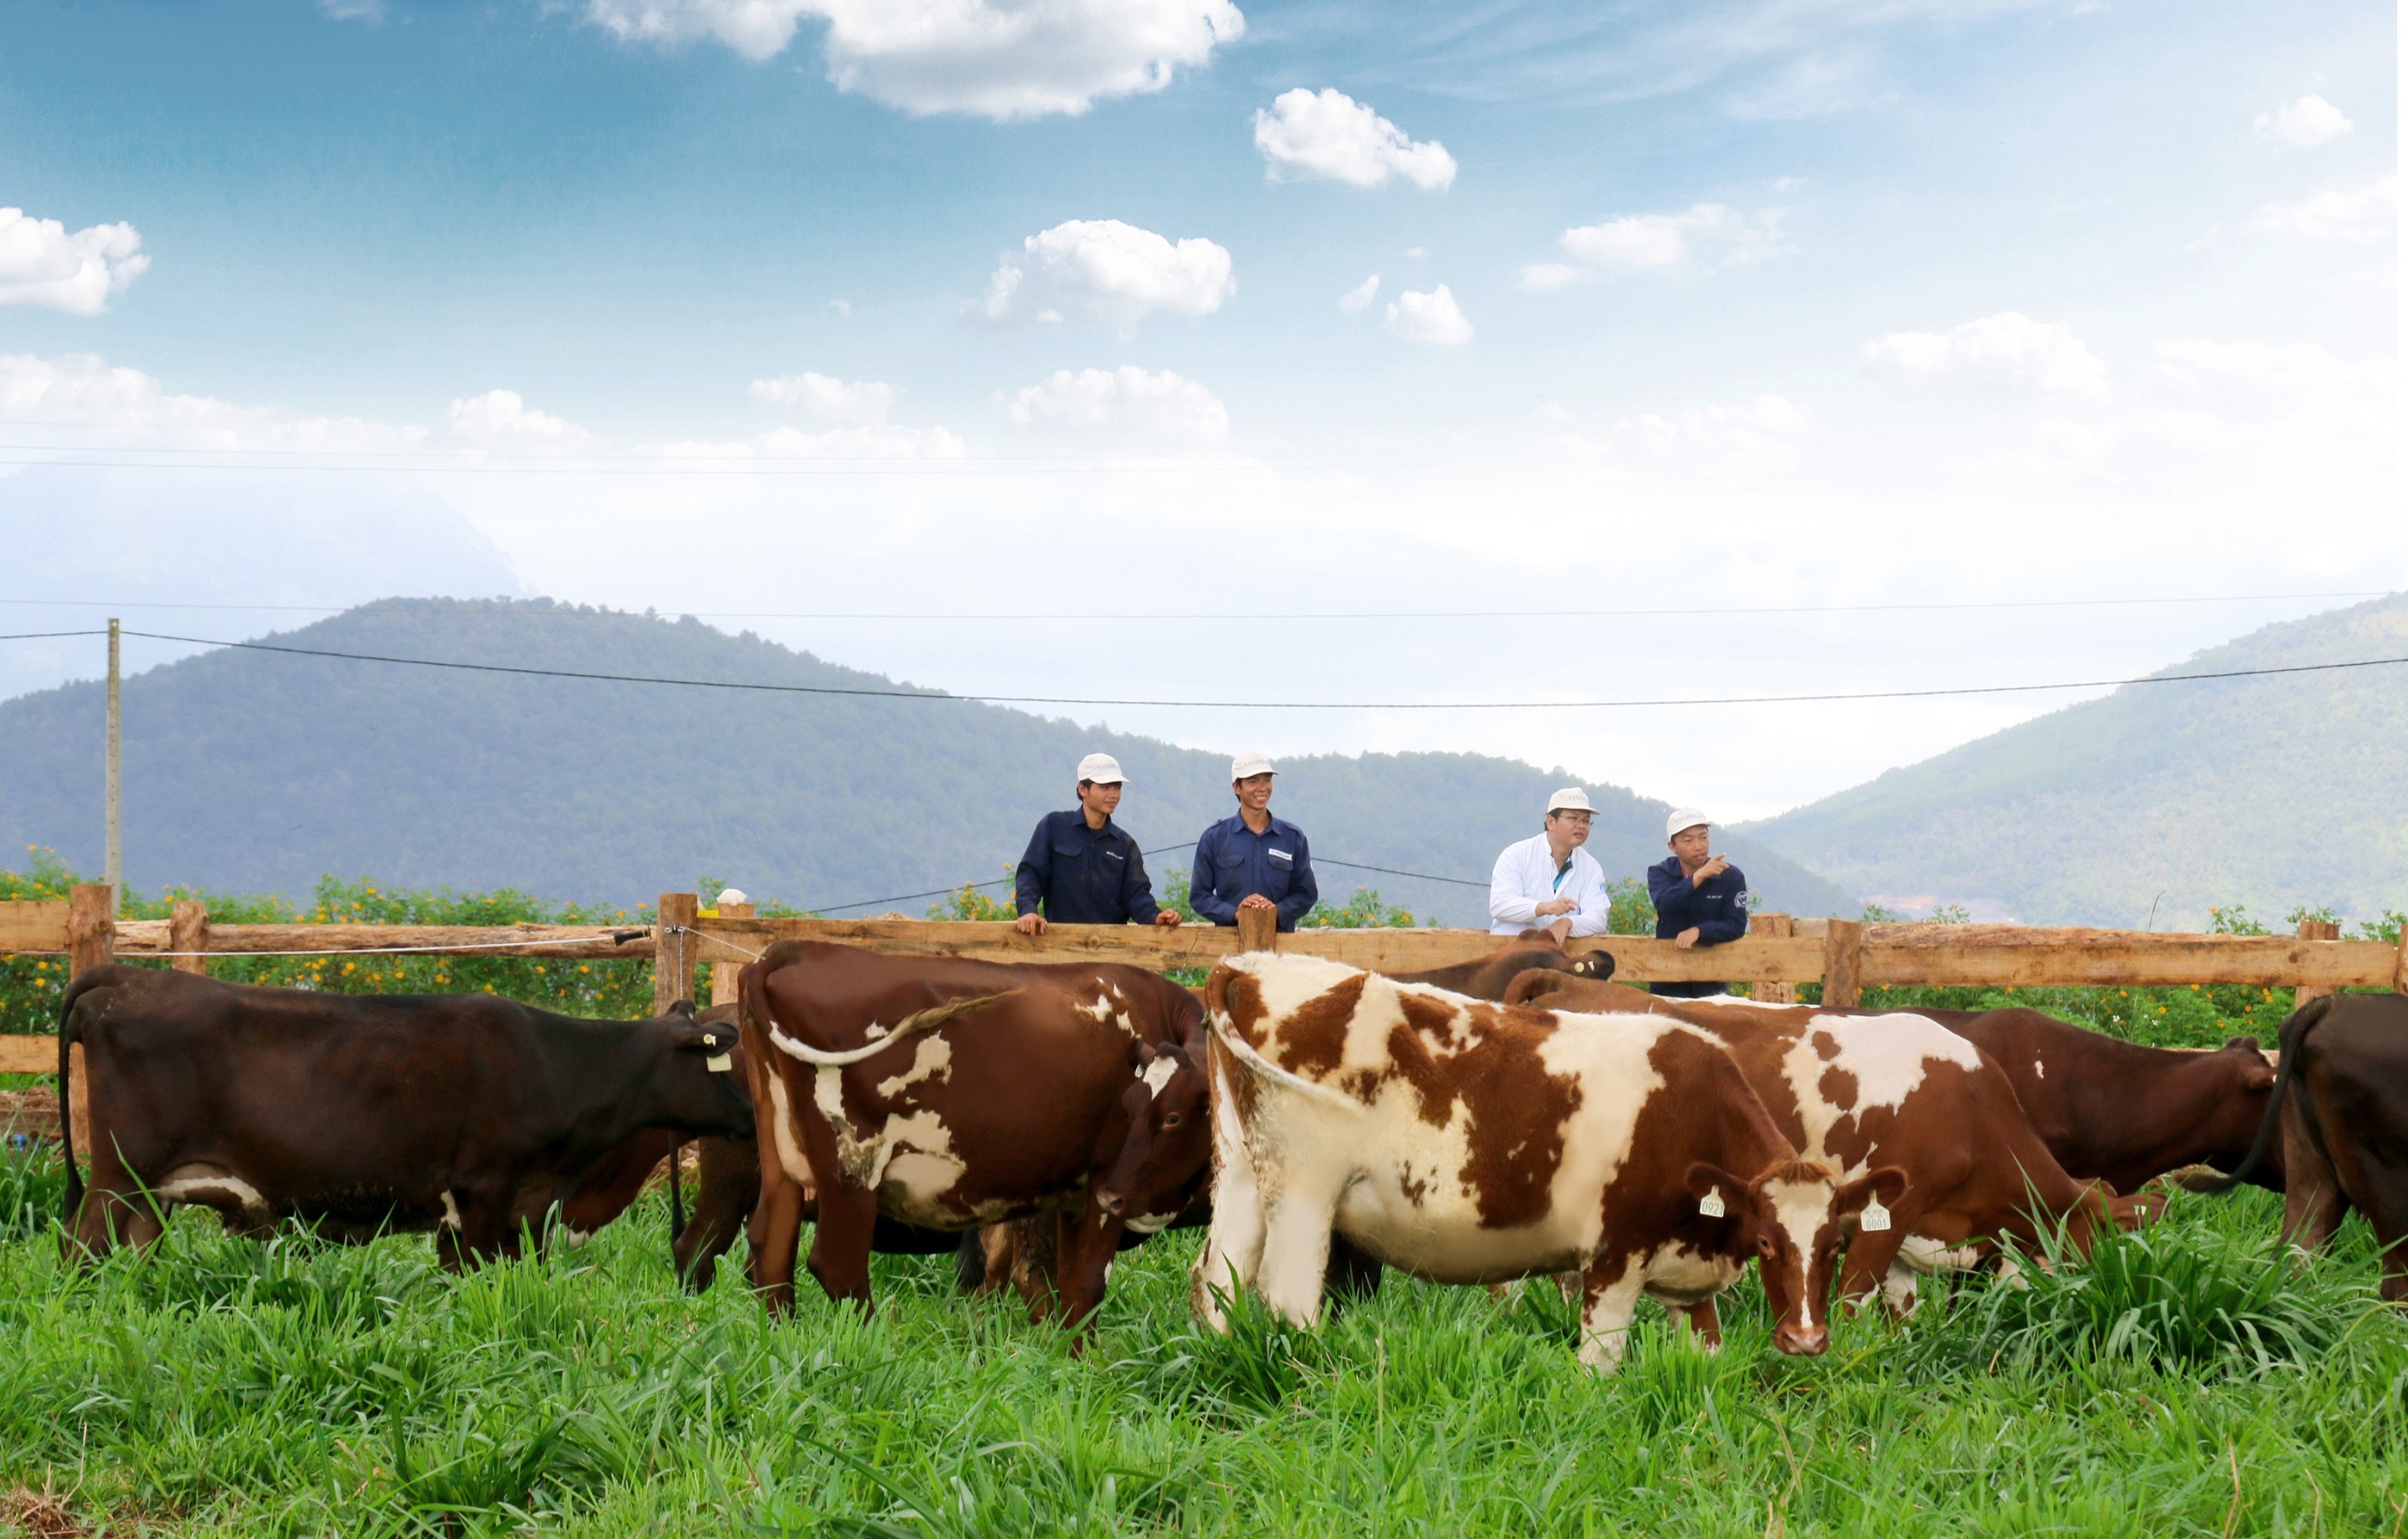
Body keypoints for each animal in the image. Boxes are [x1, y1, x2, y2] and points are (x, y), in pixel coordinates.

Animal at [58, 968, 751, 1271]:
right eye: (723, 1066)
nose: (752, 1117)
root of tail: (127, 978)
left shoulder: (495, 1214)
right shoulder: (485, 1194)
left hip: (152, 1192)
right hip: (117, 1174)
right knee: (79, 1245)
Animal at [732, 939, 1213, 1339]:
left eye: (1171, 1117)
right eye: (1133, 1111)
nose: (1116, 1195)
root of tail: (796, 950)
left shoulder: (1071, 1196)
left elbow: (1064, 1286)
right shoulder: (1101, 1186)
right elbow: (1086, 1285)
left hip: (783, 1165)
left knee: (770, 1251)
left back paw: (782, 1343)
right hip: (851, 1167)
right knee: (837, 1266)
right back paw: (876, 1344)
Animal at [1194, 953, 1907, 1368]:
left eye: (1834, 1246)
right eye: (1766, 1241)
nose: (1807, 1340)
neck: (1690, 1105)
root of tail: (1253, 964)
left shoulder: (1689, 1277)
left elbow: (1703, 1359)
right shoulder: (1614, 1262)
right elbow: (1600, 1368)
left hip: (1242, 1179)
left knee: (1216, 1283)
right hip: (1305, 1194)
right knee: (1289, 1300)